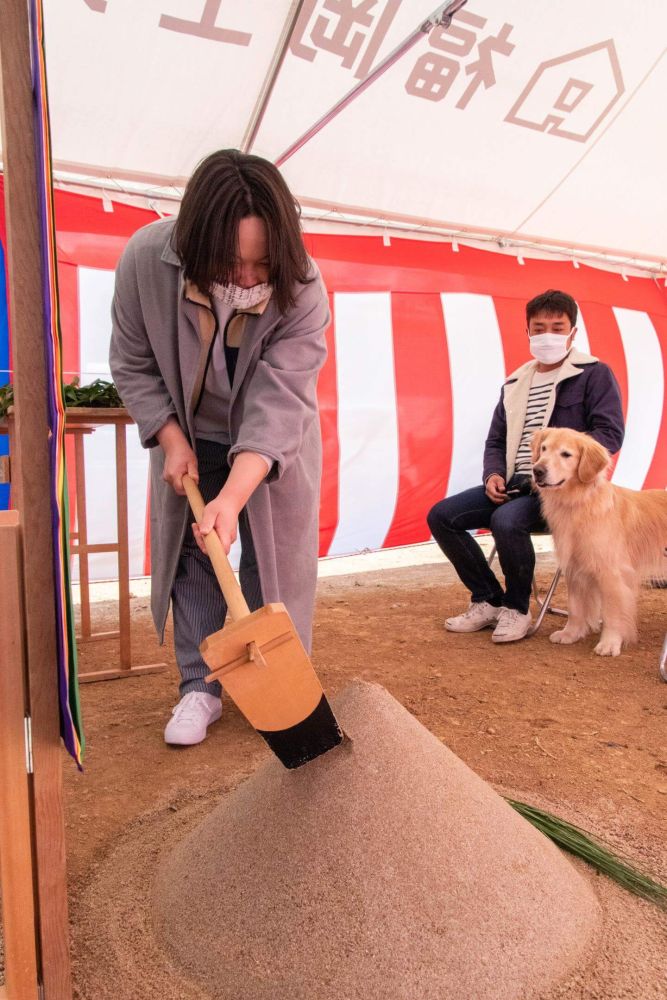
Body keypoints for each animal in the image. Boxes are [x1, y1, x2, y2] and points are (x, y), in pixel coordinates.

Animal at [532, 428, 667, 656]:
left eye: (566, 454)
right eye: (543, 449)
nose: (537, 470)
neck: (579, 503)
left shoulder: (611, 572)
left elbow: (612, 612)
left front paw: (610, 643)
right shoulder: (574, 567)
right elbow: (575, 607)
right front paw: (570, 633)